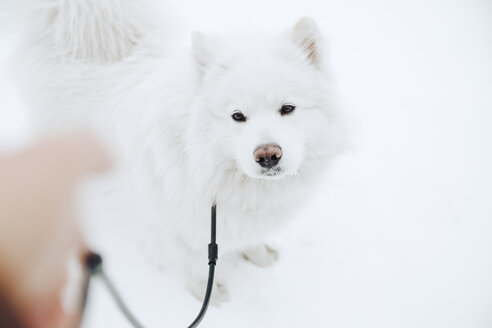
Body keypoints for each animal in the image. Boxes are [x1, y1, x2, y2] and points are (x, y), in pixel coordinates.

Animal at [5, 0, 348, 302]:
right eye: (238, 116)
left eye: (287, 108)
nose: (267, 155)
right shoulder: (185, 225)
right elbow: (196, 265)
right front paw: (208, 295)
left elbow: (250, 238)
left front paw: (259, 254)